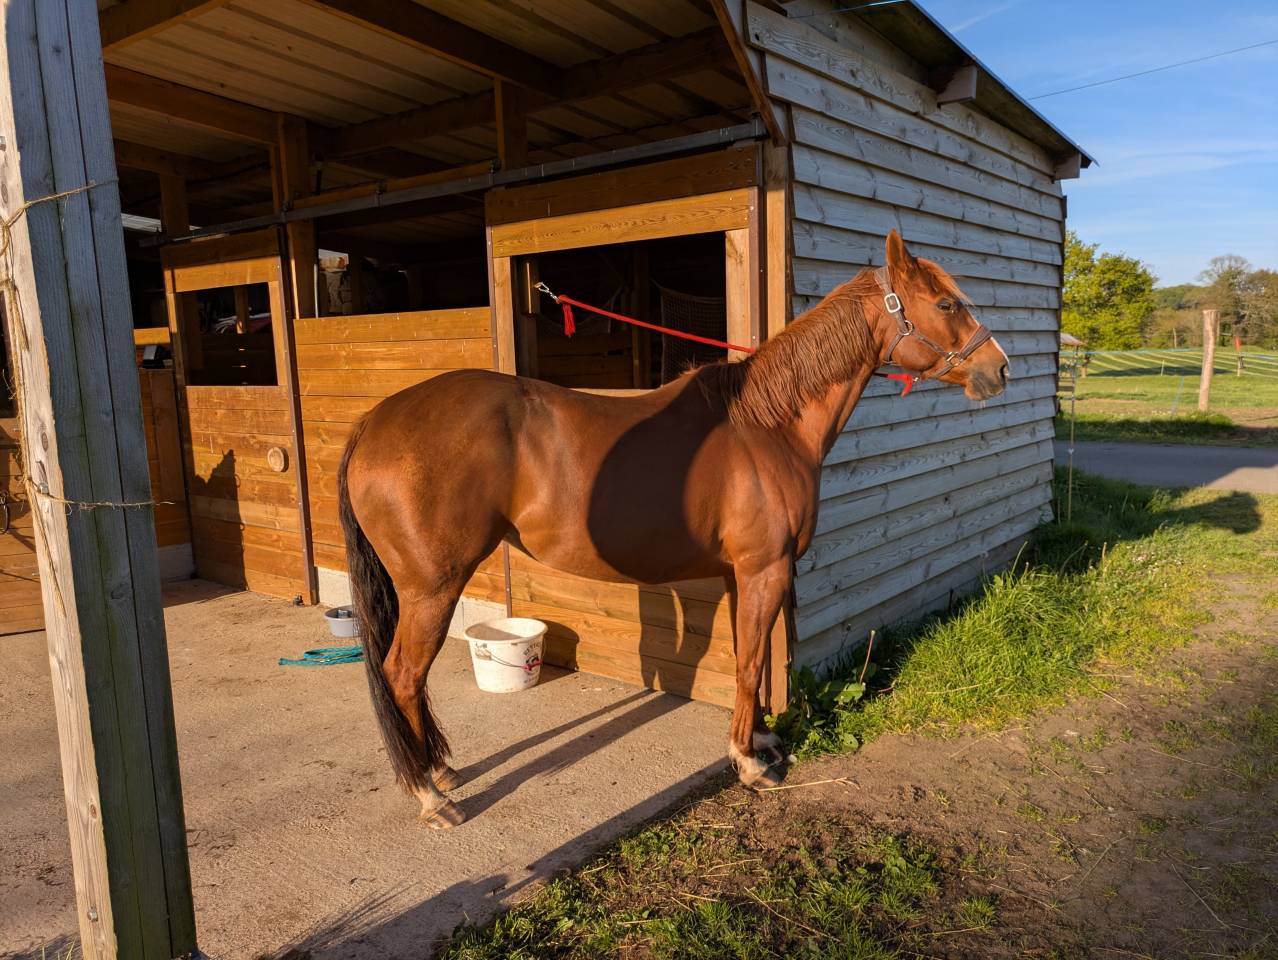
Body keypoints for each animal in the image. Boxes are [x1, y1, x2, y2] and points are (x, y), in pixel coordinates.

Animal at [337, 229, 1009, 828]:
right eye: (946, 304)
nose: (998, 370)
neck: (766, 425)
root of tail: (375, 421)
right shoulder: (765, 570)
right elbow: (749, 664)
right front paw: (748, 764)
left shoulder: (742, 575)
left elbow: (746, 658)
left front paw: (758, 741)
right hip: (432, 587)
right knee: (403, 675)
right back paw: (430, 794)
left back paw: (440, 771)